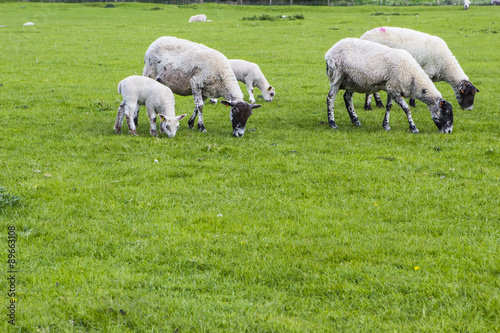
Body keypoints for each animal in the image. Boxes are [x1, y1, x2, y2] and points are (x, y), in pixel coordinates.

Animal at [324, 38, 454, 134]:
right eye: (446, 112)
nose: (449, 131)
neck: (413, 76)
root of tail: (329, 52)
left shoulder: (392, 88)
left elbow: (388, 107)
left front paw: (386, 125)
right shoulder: (394, 89)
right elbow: (407, 108)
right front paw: (413, 128)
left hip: (353, 81)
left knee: (347, 97)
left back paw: (356, 121)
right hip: (337, 76)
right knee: (330, 98)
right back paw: (333, 123)